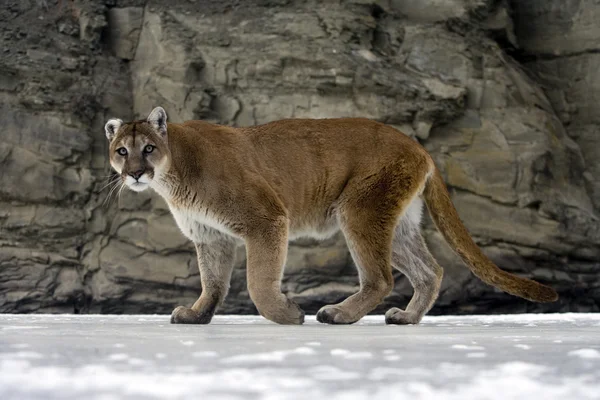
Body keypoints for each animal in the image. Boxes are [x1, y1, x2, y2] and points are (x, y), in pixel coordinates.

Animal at [103, 108, 556, 324]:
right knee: (430, 271)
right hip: (397, 223)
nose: (135, 173)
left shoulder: (266, 219)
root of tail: (417, 144)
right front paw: (197, 315)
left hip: (359, 210)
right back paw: (407, 318)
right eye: (122, 150)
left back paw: (338, 314)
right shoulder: (211, 237)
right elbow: (213, 283)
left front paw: (288, 315)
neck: (175, 172)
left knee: (381, 278)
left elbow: (258, 283)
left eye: (148, 148)